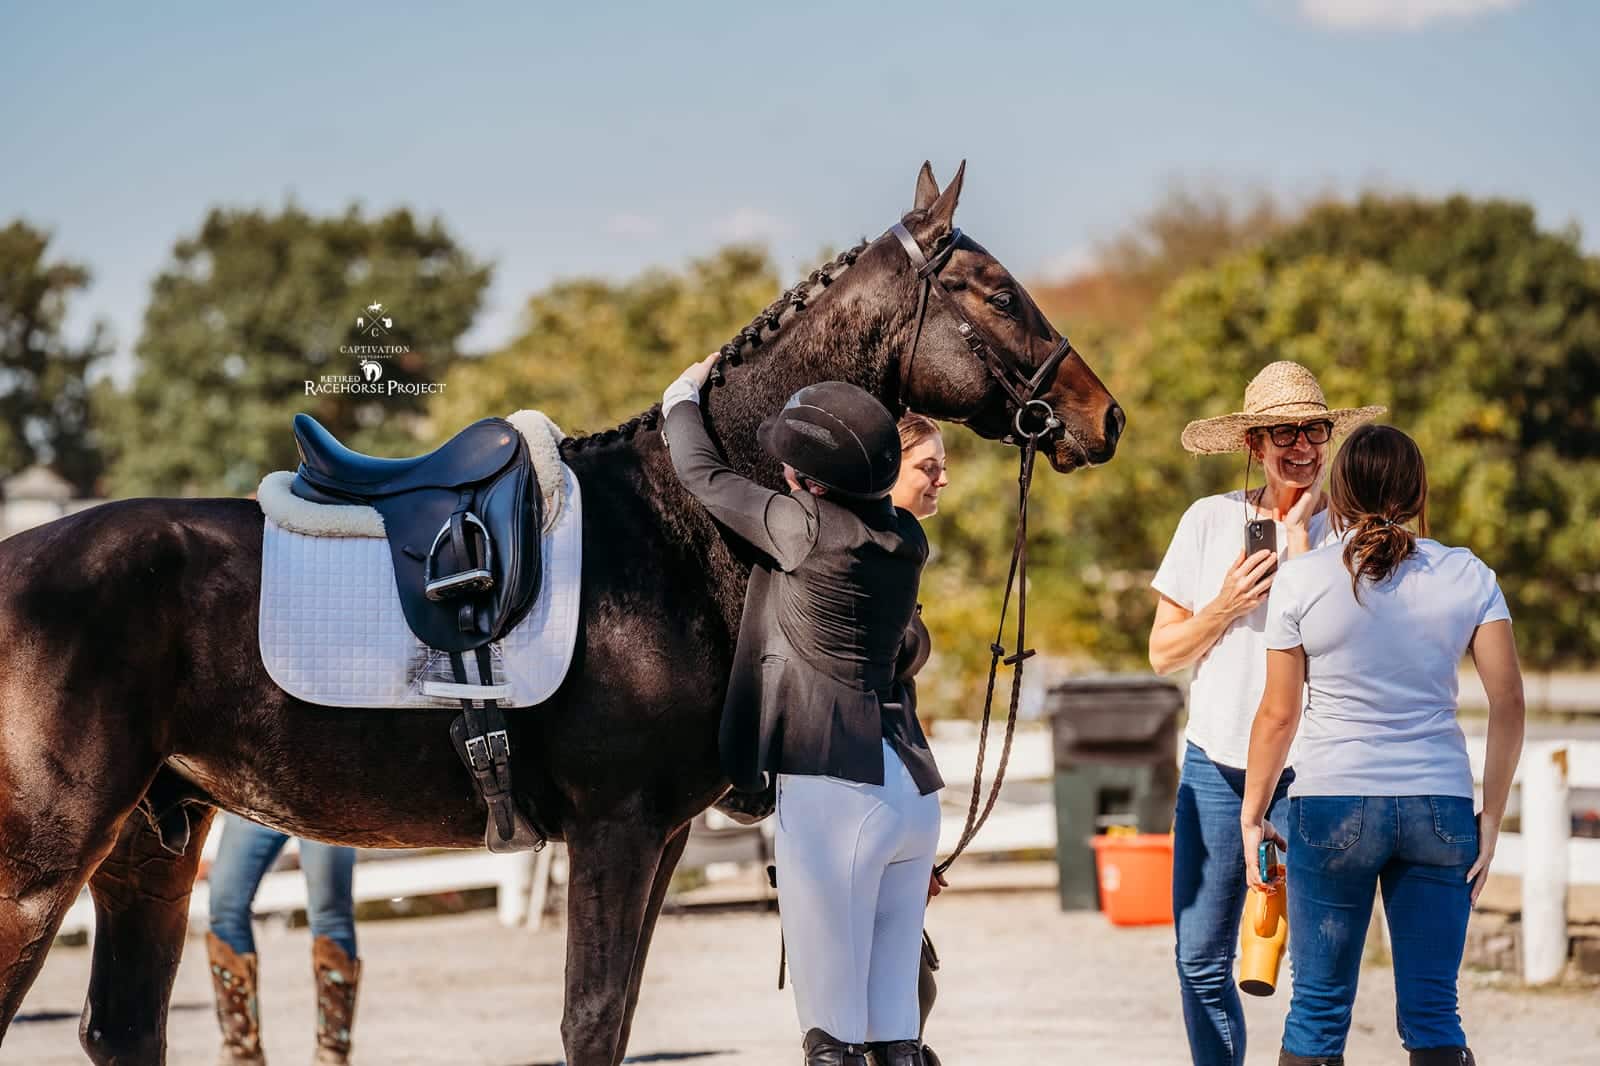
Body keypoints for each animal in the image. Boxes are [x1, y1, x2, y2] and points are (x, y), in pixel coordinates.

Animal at [0, 161, 1126, 1056]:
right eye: (994, 291)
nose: (1101, 415)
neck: (678, 522)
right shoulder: (615, 830)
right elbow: (590, 1021)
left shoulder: (658, 838)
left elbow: (613, 1018)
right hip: (42, 870)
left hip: (153, 846)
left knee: (124, 1028)